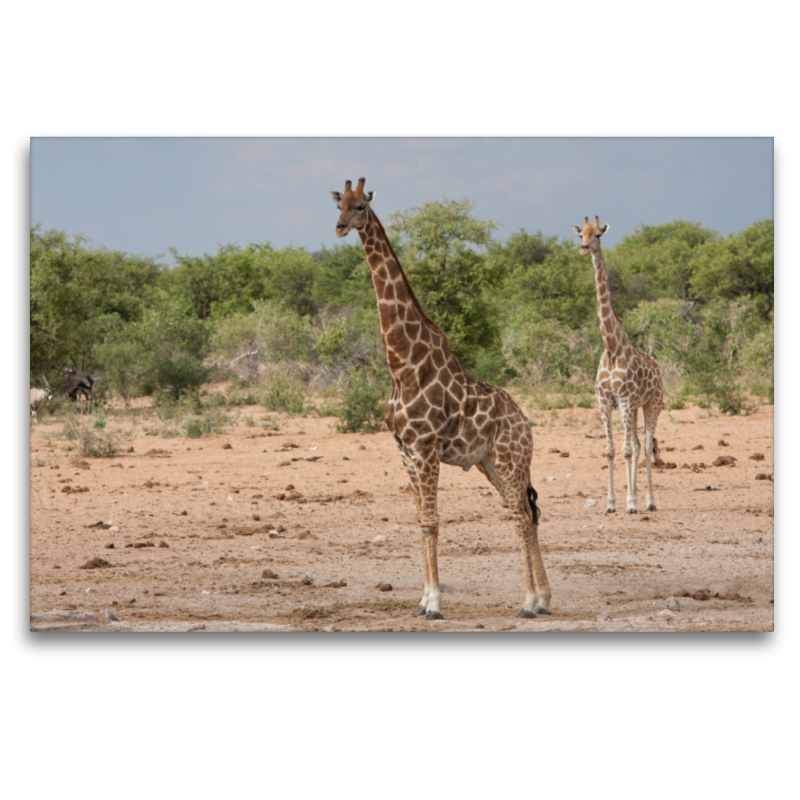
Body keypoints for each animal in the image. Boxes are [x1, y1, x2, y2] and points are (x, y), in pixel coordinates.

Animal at [332, 180, 552, 620]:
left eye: (361, 205)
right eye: (338, 204)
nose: (340, 227)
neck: (403, 366)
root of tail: (525, 423)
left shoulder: (425, 447)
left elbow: (432, 521)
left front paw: (434, 604)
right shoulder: (404, 450)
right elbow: (421, 520)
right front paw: (421, 602)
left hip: (509, 458)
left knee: (521, 516)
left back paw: (528, 603)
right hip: (491, 463)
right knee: (525, 513)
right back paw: (543, 600)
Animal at [572, 216, 664, 512]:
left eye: (599, 234)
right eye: (581, 233)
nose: (584, 248)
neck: (611, 348)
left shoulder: (623, 400)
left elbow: (625, 450)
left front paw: (631, 503)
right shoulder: (604, 401)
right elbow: (611, 450)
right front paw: (611, 503)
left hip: (652, 404)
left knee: (644, 446)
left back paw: (647, 501)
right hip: (634, 408)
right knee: (635, 445)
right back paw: (632, 498)